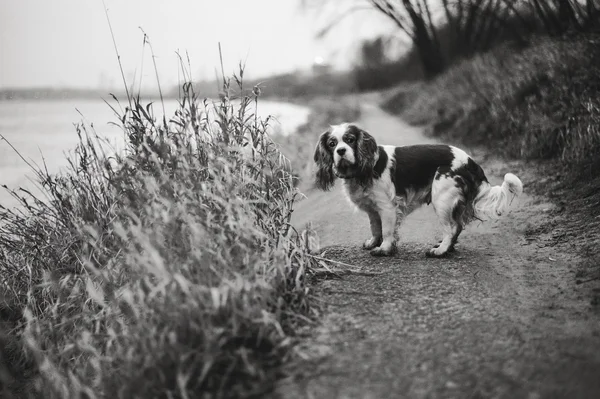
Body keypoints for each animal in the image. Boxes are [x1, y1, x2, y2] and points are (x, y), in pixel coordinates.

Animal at [312, 123, 524, 258]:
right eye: (332, 144)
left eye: (350, 140)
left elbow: (387, 231)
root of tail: (470, 161)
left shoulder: (387, 207)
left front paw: (384, 249)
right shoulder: (373, 209)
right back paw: (446, 247)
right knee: (457, 227)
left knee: (452, 227)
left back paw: (440, 251)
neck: (361, 169)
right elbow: (375, 227)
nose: (340, 151)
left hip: (442, 199)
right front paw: (374, 242)